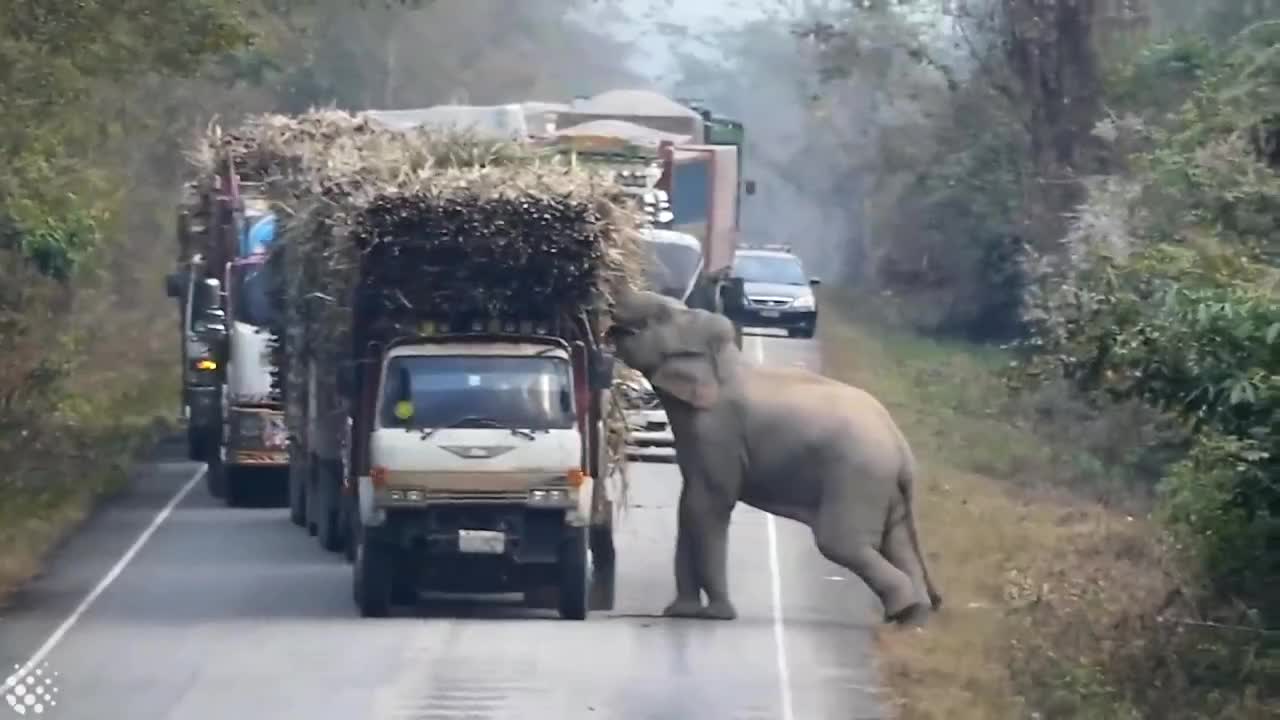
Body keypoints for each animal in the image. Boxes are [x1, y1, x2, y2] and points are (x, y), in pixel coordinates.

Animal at [604, 288, 947, 625]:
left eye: (659, 315)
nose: (610, 295)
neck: (726, 360)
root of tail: (901, 448)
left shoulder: (719, 431)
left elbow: (707, 504)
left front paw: (717, 616)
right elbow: (687, 504)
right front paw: (680, 612)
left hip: (858, 478)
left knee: (840, 542)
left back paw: (903, 611)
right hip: (884, 488)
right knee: (897, 543)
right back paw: (914, 617)